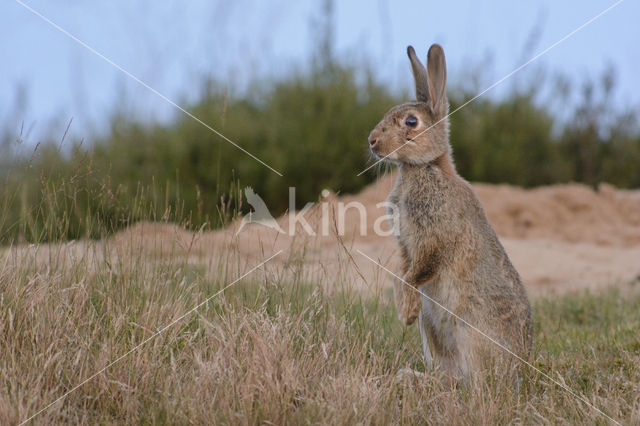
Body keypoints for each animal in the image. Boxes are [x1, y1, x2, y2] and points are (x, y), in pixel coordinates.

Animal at [368, 45, 532, 382]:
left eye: (411, 122)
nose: (372, 141)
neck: (425, 167)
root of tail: (519, 371)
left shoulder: (434, 239)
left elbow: (413, 275)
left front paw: (406, 312)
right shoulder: (406, 246)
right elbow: (401, 274)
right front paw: (405, 311)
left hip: (469, 333)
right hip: (433, 333)